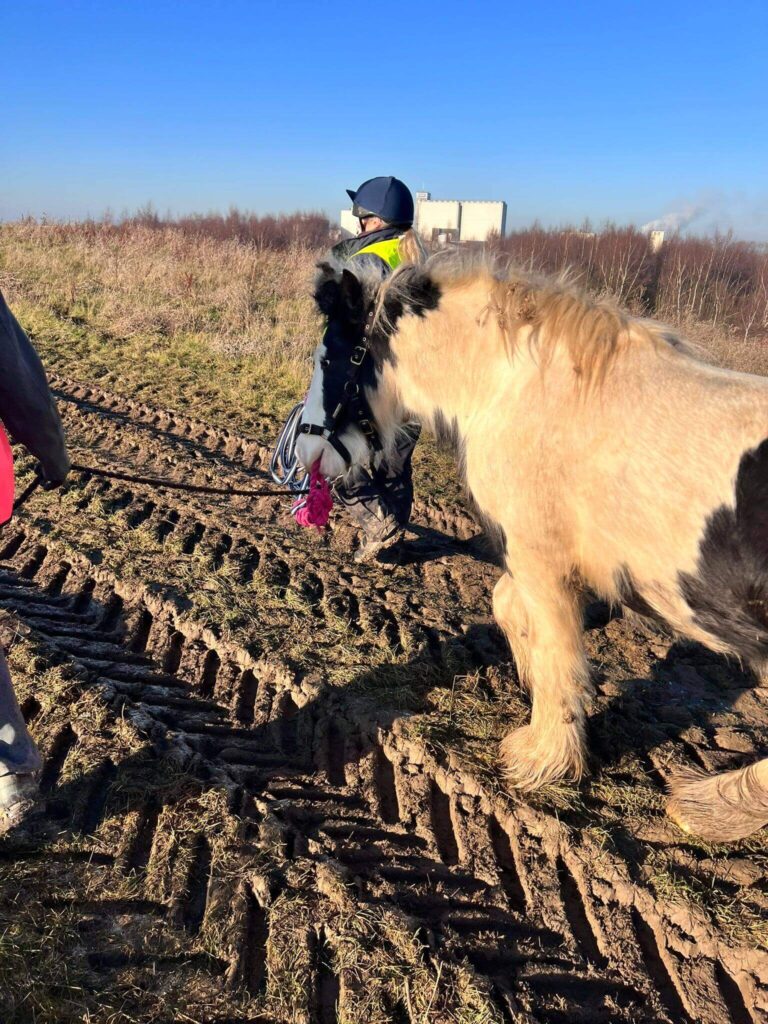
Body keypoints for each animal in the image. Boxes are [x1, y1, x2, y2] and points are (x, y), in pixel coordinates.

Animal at [296, 256, 768, 839]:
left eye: (330, 357)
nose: (307, 453)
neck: (517, 390)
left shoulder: (541, 560)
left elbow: (554, 648)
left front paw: (543, 757)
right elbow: (511, 609)